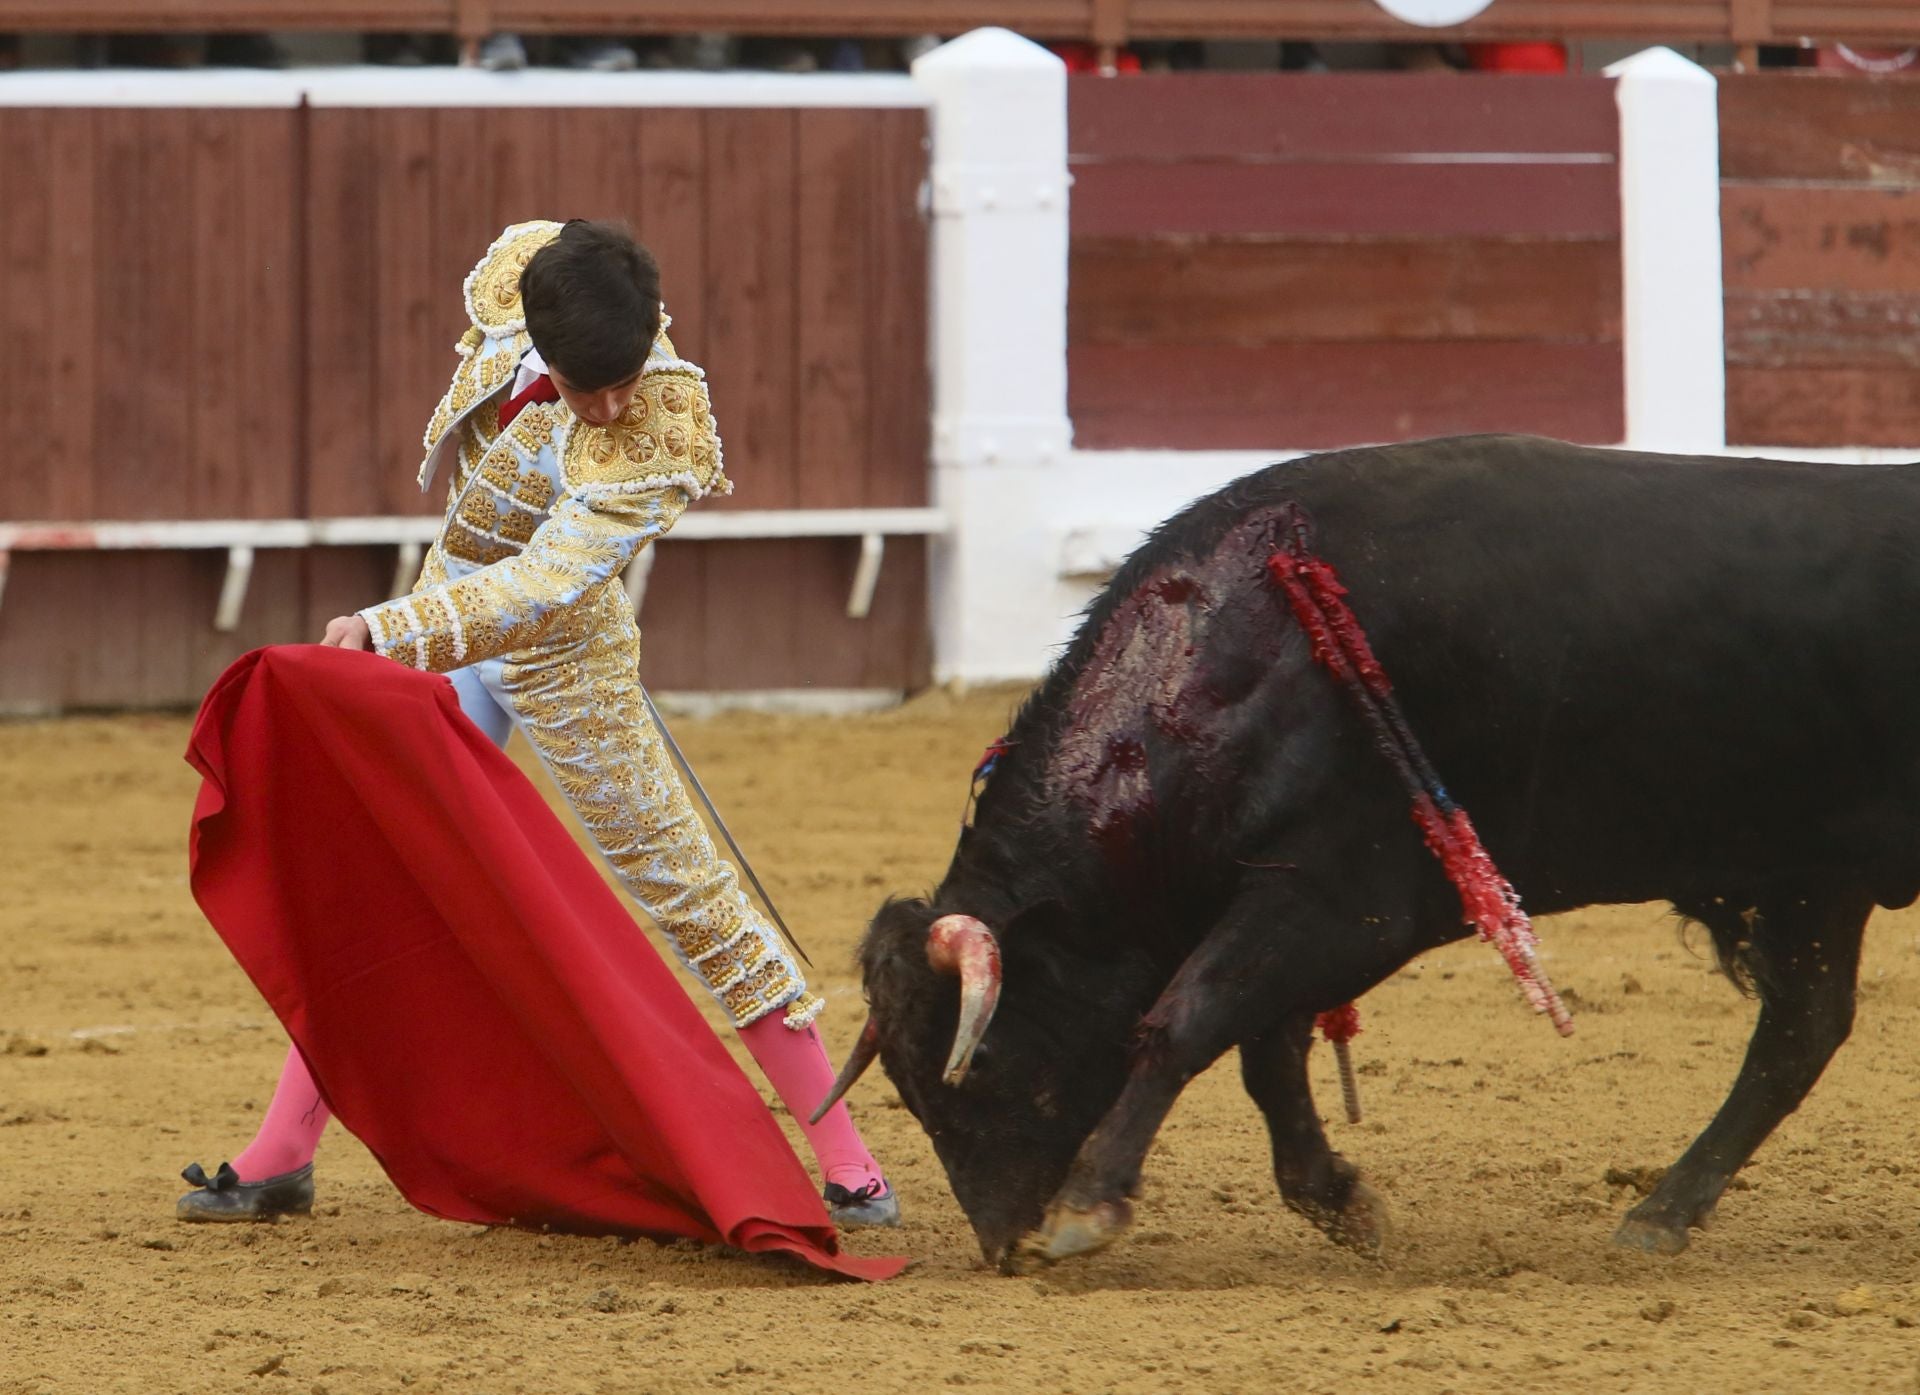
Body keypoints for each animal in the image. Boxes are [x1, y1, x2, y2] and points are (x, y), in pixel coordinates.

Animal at [837, 439, 1920, 1274]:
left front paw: (1089, 1206)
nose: (1004, 1246)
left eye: (970, 1065)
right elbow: (1264, 1052)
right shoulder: (1306, 906)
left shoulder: (1342, 894)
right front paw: (1340, 1201)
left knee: (1797, 1033)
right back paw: (1660, 1214)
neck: (1238, 660)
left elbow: (1188, 1018)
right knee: (1801, 1033)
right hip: (1815, 884)